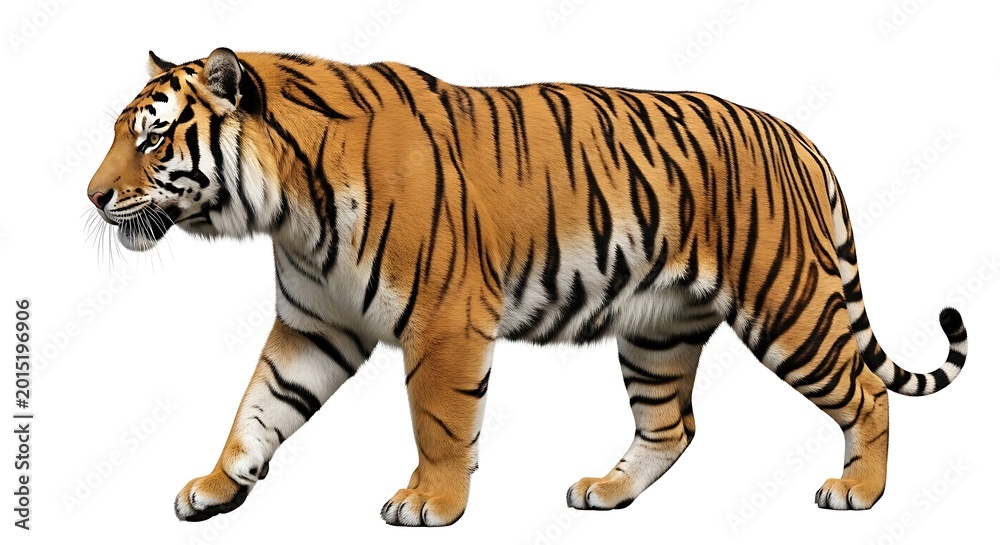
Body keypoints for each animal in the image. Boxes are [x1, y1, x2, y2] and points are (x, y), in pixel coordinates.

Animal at [86, 48, 968, 526]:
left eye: (153, 138)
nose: (91, 196)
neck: (285, 208)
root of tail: (799, 137)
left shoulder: (443, 322)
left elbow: (440, 422)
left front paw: (430, 503)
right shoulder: (315, 324)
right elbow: (258, 407)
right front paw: (215, 486)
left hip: (788, 305)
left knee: (865, 391)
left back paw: (859, 491)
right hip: (657, 329)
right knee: (671, 425)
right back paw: (606, 490)